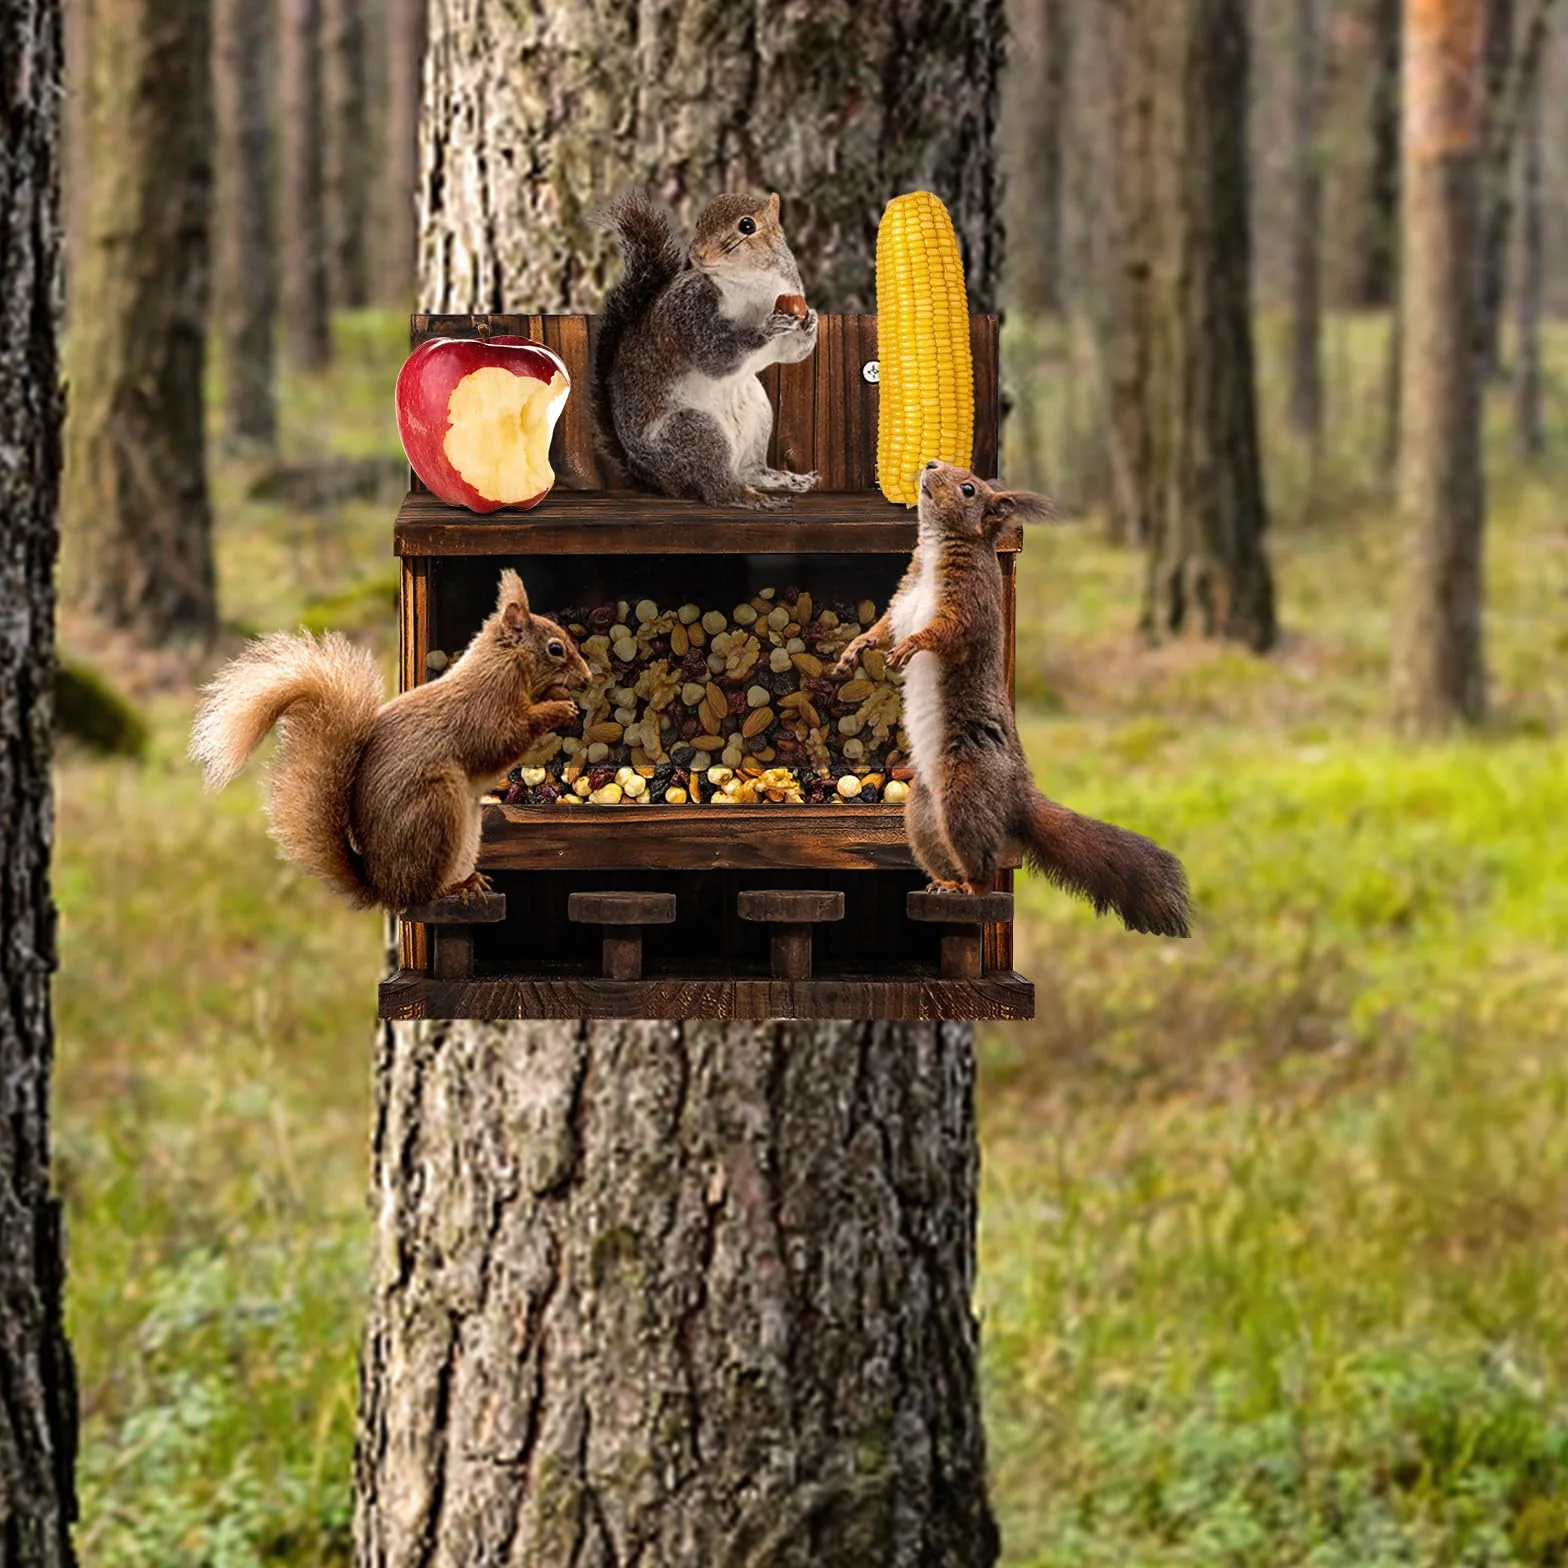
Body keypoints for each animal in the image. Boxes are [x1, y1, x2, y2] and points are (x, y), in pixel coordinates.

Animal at [188, 570, 590, 912]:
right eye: (556, 648)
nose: (587, 679)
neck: (506, 664)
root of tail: (384, 888)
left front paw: (558, 698)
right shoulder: (487, 711)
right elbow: (506, 738)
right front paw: (559, 708)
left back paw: (470, 881)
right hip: (437, 808)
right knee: (423, 894)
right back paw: (455, 888)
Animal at [591, 188, 820, 510]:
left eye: (747, 226)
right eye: (700, 221)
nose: (698, 254)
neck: (752, 283)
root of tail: (659, 480)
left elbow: (791, 353)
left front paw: (812, 320)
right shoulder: (690, 312)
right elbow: (715, 357)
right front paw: (766, 327)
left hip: (759, 414)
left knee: (750, 471)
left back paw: (784, 480)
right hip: (694, 433)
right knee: (718, 489)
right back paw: (749, 498)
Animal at [836, 461, 1192, 938]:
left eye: (969, 489)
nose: (930, 464)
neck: (936, 550)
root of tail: (1016, 796)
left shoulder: (967, 604)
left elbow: (943, 633)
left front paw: (912, 646)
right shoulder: (903, 601)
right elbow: (883, 628)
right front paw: (855, 648)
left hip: (966, 792)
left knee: (985, 869)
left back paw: (971, 889)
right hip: (924, 812)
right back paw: (947, 883)